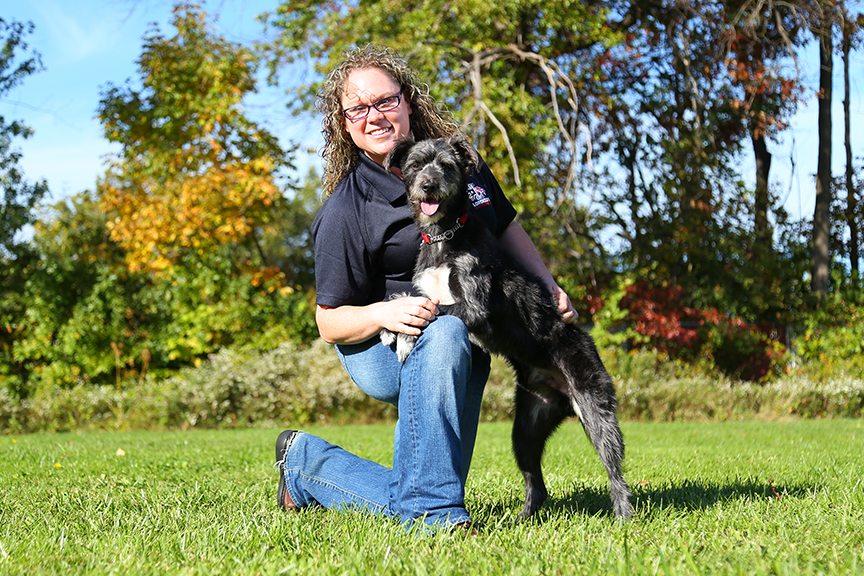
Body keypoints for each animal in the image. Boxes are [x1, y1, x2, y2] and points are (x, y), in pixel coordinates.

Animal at [380, 136, 636, 520]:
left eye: (447, 166)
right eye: (415, 165)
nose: (428, 185)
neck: (444, 237)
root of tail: (564, 396)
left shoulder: (474, 307)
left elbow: (434, 310)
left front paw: (406, 337)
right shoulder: (425, 289)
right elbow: (412, 300)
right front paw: (390, 326)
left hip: (597, 412)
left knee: (615, 471)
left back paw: (623, 516)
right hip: (527, 428)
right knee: (536, 482)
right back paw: (524, 518)